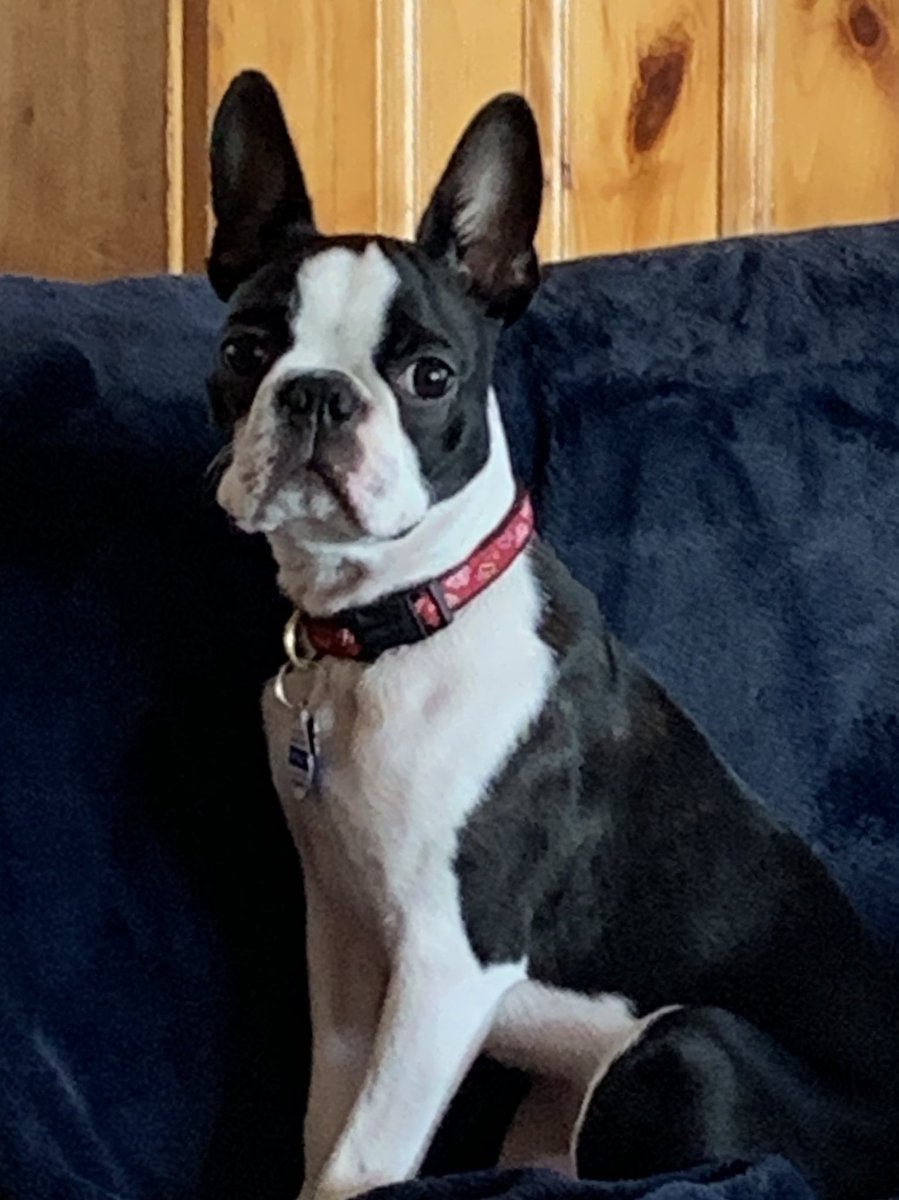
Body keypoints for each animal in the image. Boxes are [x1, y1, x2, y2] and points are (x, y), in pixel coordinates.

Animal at [206, 75, 897, 1200]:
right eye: (243, 351)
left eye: (429, 376)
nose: (315, 393)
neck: (397, 621)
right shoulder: (343, 945)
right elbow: (326, 1126)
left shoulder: (447, 963)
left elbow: (365, 1153)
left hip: (680, 1047)